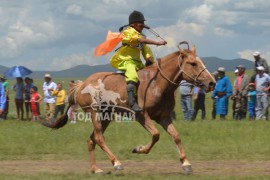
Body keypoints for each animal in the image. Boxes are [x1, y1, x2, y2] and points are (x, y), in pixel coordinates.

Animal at [43, 41, 216, 174]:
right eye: (193, 63)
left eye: (202, 62)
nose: (212, 83)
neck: (157, 83)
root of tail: (82, 85)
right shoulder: (142, 116)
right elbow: (156, 135)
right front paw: (139, 149)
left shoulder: (163, 116)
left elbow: (176, 136)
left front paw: (186, 163)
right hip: (95, 114)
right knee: (99, 138)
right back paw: (116, 163)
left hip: (106, 117)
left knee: (91, 140)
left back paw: (96, 169)